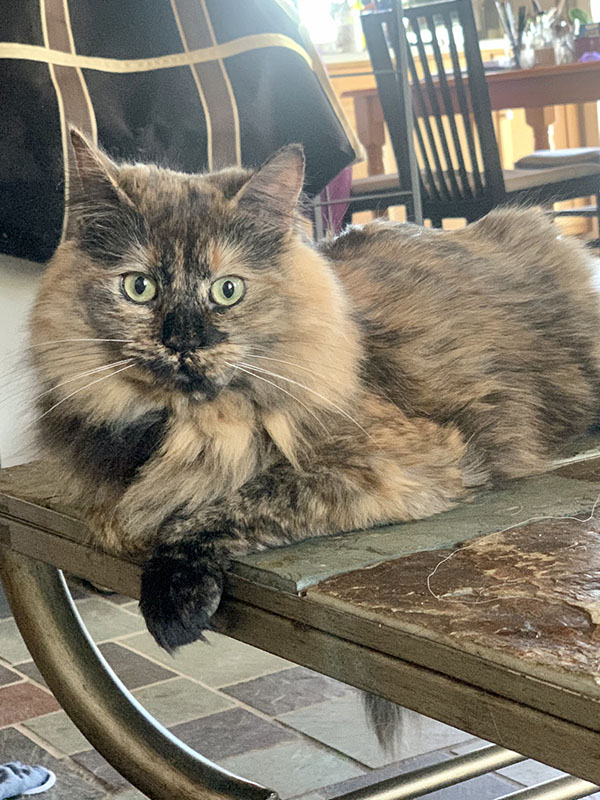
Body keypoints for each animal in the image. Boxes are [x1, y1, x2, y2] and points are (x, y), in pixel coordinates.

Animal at [30, 126, 600, 648]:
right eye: (139, 287)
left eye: (227, 290)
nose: (183, 341)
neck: (188, 424)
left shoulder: (400, 465)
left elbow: (233, 501)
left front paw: (174, 593)